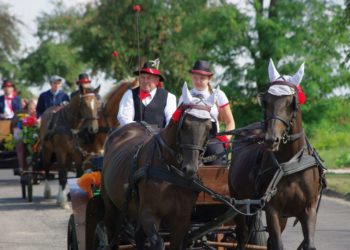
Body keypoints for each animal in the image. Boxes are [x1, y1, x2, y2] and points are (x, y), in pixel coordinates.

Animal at [101, 83, 215, 249]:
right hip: (111, 208)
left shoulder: (182, 220)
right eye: (185, 125)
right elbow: (157, 242)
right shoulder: (149, 214)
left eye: (208, 127)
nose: (190, 169)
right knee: (113, 236)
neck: (172, 173)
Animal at [230, 61, 322, 250]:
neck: (291, 163)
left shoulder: (308, 209)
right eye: (265, 101)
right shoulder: (272, 210)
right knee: (242, 235)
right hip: (238, 202)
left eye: (291, 102)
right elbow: (278, 244)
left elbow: (308, 244)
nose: (271, 139)